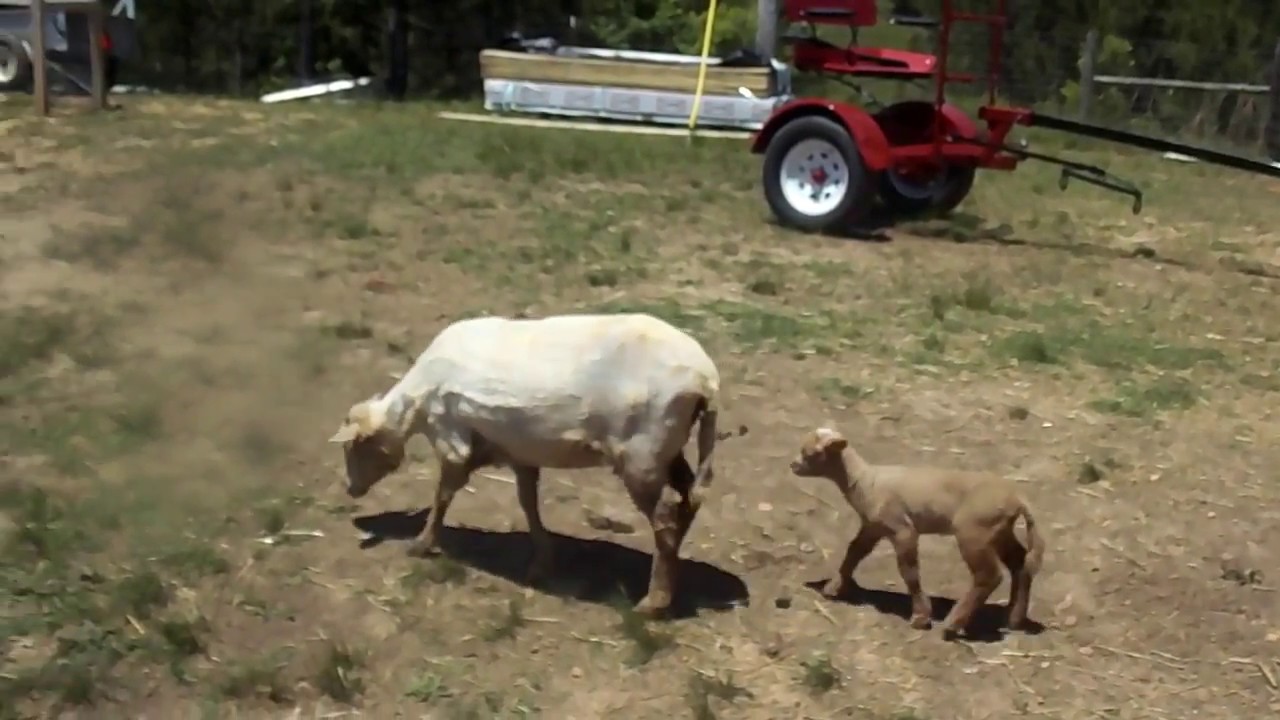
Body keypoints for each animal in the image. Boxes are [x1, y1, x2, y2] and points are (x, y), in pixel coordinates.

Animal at [328, 312, 726, 618]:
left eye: (353, 448)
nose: (351, 489)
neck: (415, 404)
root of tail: (705, 381)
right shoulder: (518, 452)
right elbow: (527, 503)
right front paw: (541, 562)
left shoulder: (451, 437)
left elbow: (443, 495)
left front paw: (421, 544)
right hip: (667, 450)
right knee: (688, 501)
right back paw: (672, 573)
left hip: (642, 454)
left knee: (666, 519)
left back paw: (653, 602)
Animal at [789, 427, 1044, 639]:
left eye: (809, 453)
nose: (793, 465)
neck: (865, 481)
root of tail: (1017, 498)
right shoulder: (873, 527)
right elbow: (854, 552)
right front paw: (834, 587)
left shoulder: (902, 529)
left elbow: (909, 571)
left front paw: (921, 617)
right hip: (999, 531)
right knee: (1021, 564)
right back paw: (1014, 618)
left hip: (974, 532)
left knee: (989, 575)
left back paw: (952, 625)